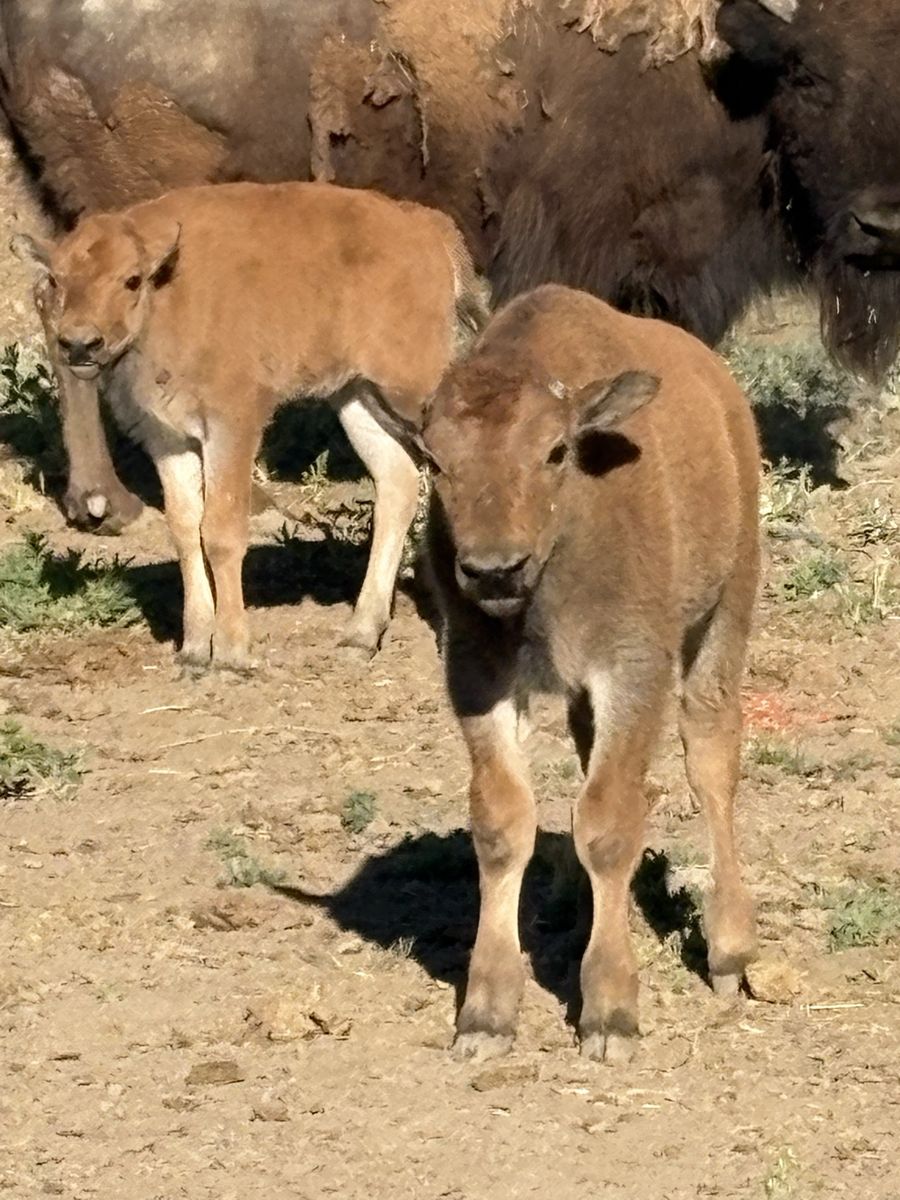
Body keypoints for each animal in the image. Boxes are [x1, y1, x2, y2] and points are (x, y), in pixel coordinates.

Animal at [1, 0, 899, 530]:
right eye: (812, 75)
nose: (882, 224)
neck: (728, 68)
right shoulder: (588, 244)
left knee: (66, 327)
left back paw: (109, 500)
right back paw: (153, 499)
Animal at [13, 181, 486, 669]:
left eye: (131, 279)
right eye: (56, 279)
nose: (80, 343)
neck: (169, 289)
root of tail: (426, 226)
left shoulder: (231, 428)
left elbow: (221, 531)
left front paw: (231, 652)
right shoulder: (169, 440)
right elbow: (185, 530)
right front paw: (194, 649)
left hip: (411, 392)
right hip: (358, 396)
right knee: (397, 484)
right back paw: (361, 633)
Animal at [418, 284, 760, 1061]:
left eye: (554, 451)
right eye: (434, 460)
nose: (495, 569)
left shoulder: (633, 671)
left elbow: (608, 822)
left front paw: (610, 1014)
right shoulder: (480, 676)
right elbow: (502, 820)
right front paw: (486, 1015)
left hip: (726, 609)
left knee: (713, 757)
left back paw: (729, 952)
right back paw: (576, 912)